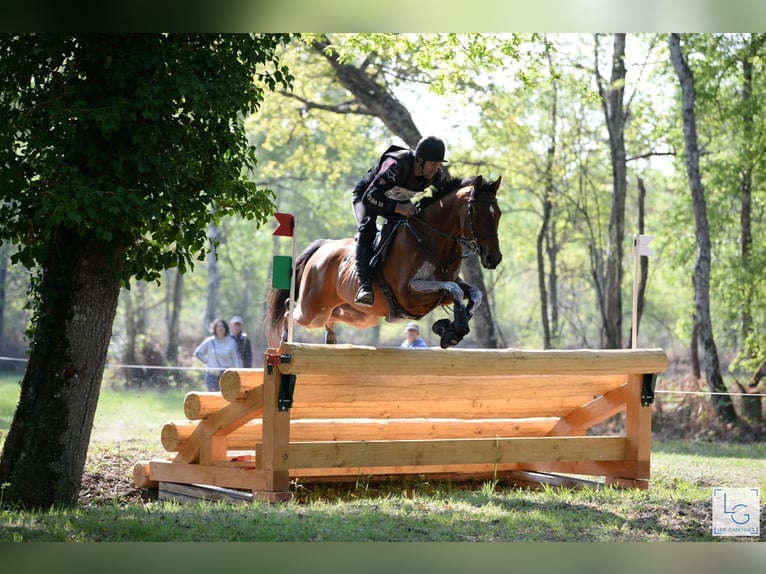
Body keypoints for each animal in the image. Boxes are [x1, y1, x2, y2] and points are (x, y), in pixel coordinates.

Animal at [264, 174, 504, 352]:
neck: (431, 238)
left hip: (359, 315)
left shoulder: (444, 287)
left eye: (498, 214)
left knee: (332, 316)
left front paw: (450, 328)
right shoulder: (409, 294)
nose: (494, 258)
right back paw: (284, 341)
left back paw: (330, 340)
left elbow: (472, 294)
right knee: (290, 309)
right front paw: (454, 328)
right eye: (478, 215)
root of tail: (323, 247)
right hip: (313, 309)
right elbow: (454, 289)